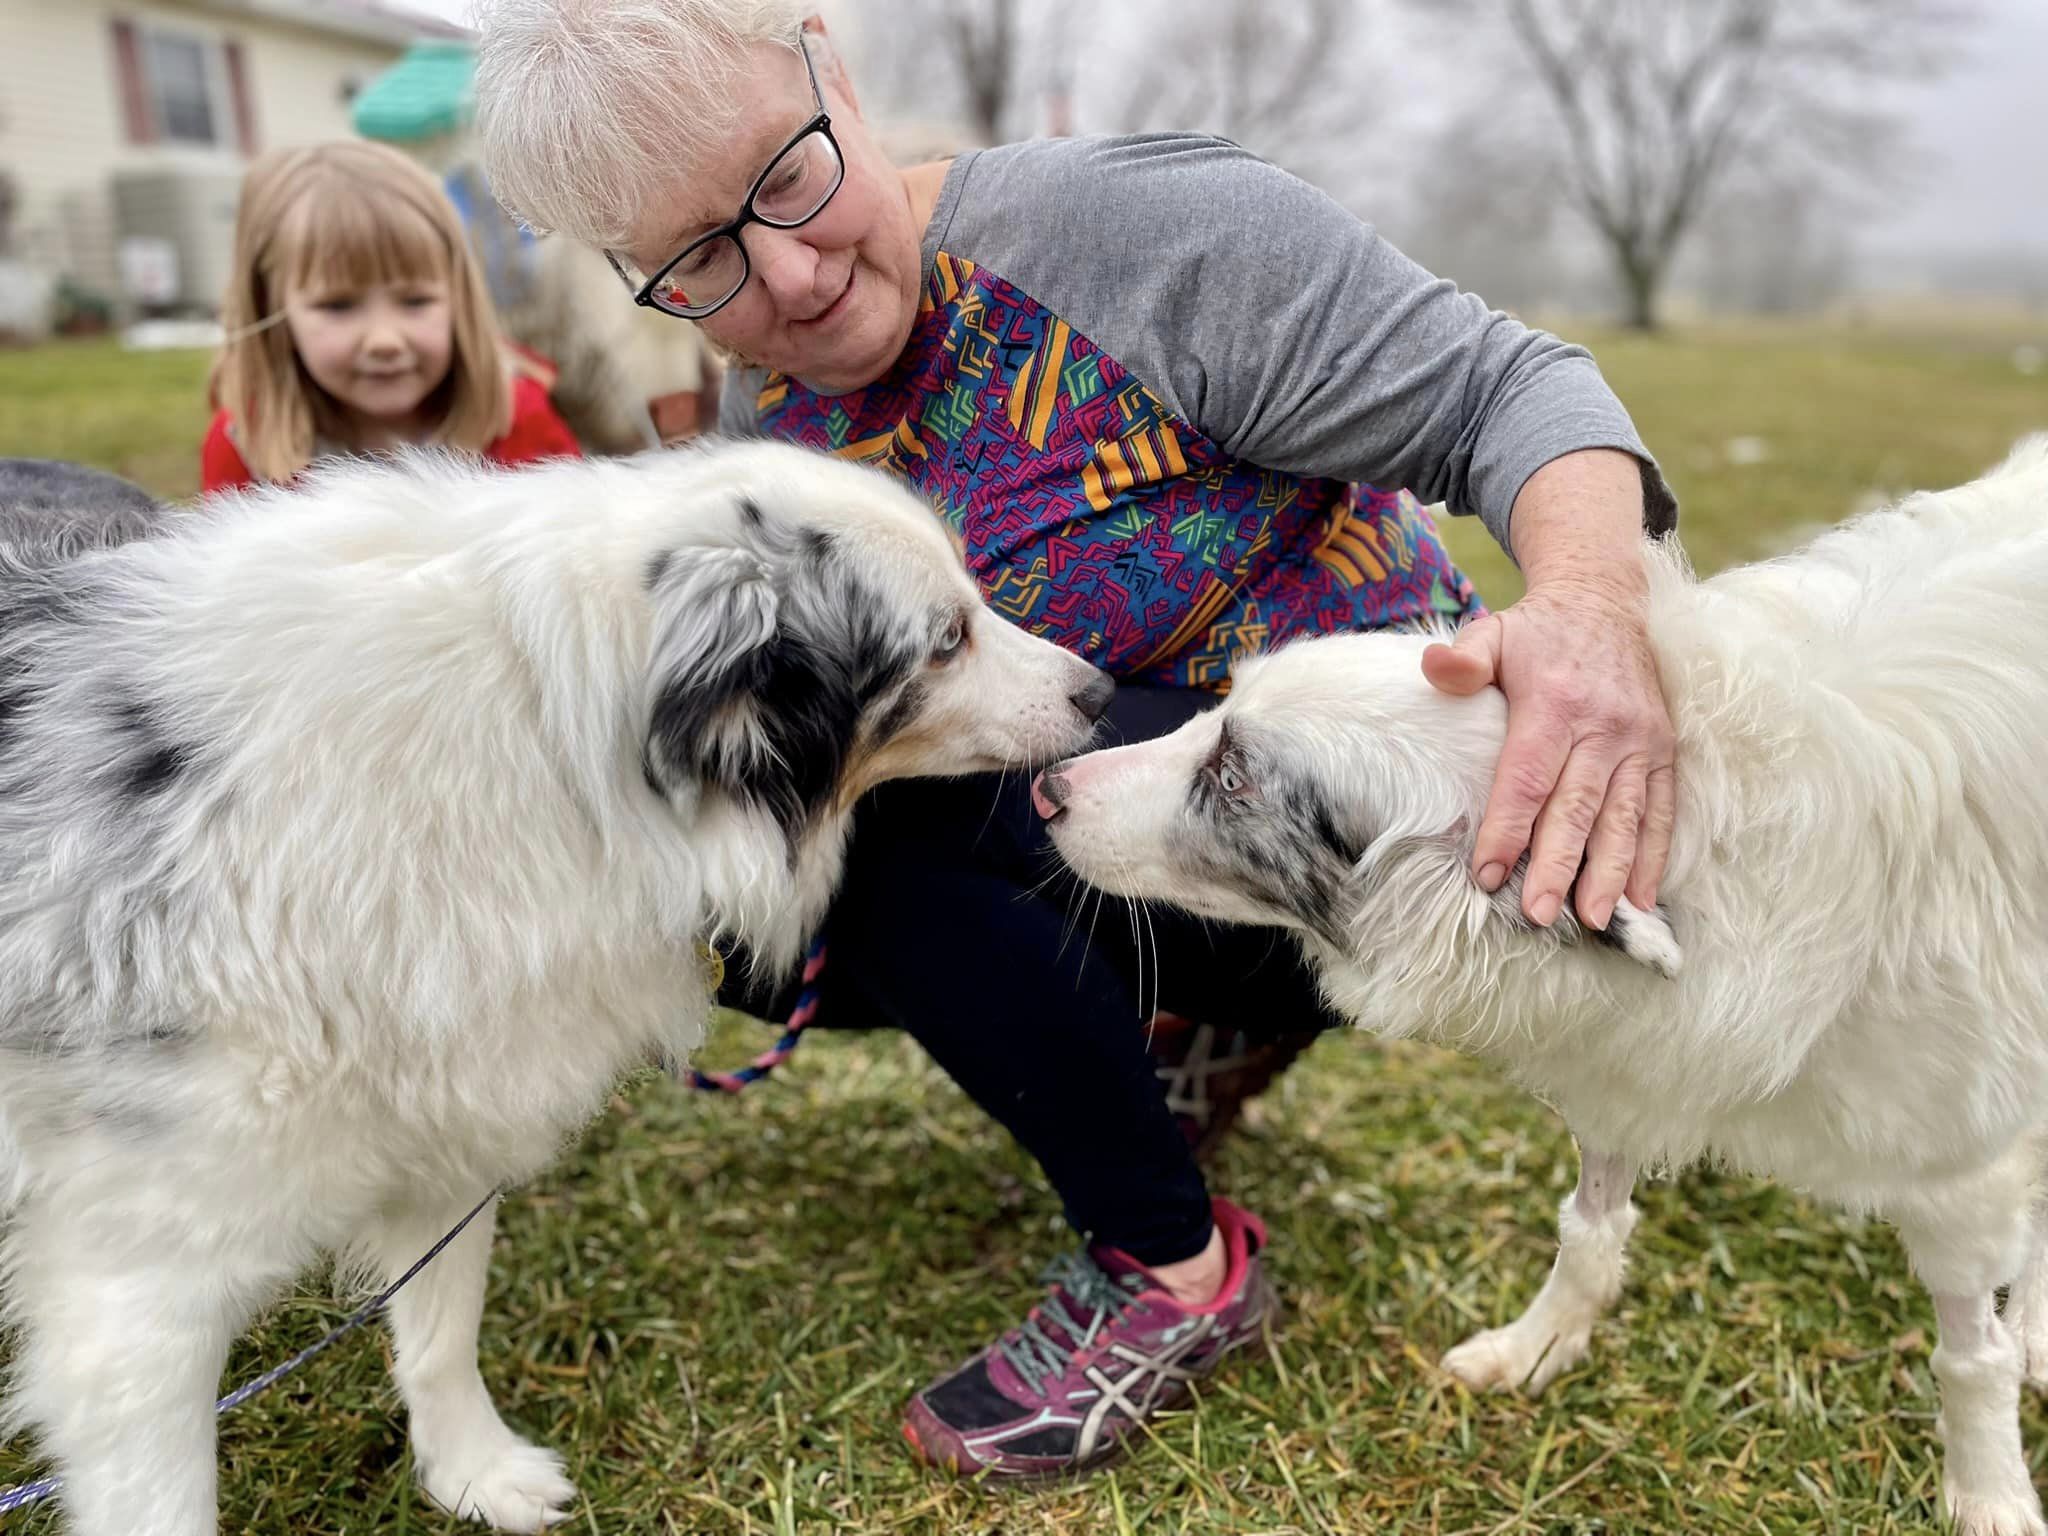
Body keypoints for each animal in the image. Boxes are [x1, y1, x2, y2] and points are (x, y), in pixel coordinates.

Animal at [0, 438, 1114, 1531]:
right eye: (945, 640)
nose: (1100, 694)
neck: (550, 749)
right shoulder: (139, 1296)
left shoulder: (455, 1110)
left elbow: (443, 1328)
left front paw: (473, 1475)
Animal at [1040, 438, 2048, 1531]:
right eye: (1217, 716)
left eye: (1232, 781)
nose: (1044, 789)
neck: (1704, 829)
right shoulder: (1622, 1058)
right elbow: (1587, 1224)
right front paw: (1537, 1346)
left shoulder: (1956, 1177)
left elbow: (1968, 1357)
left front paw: (1989, 1491)